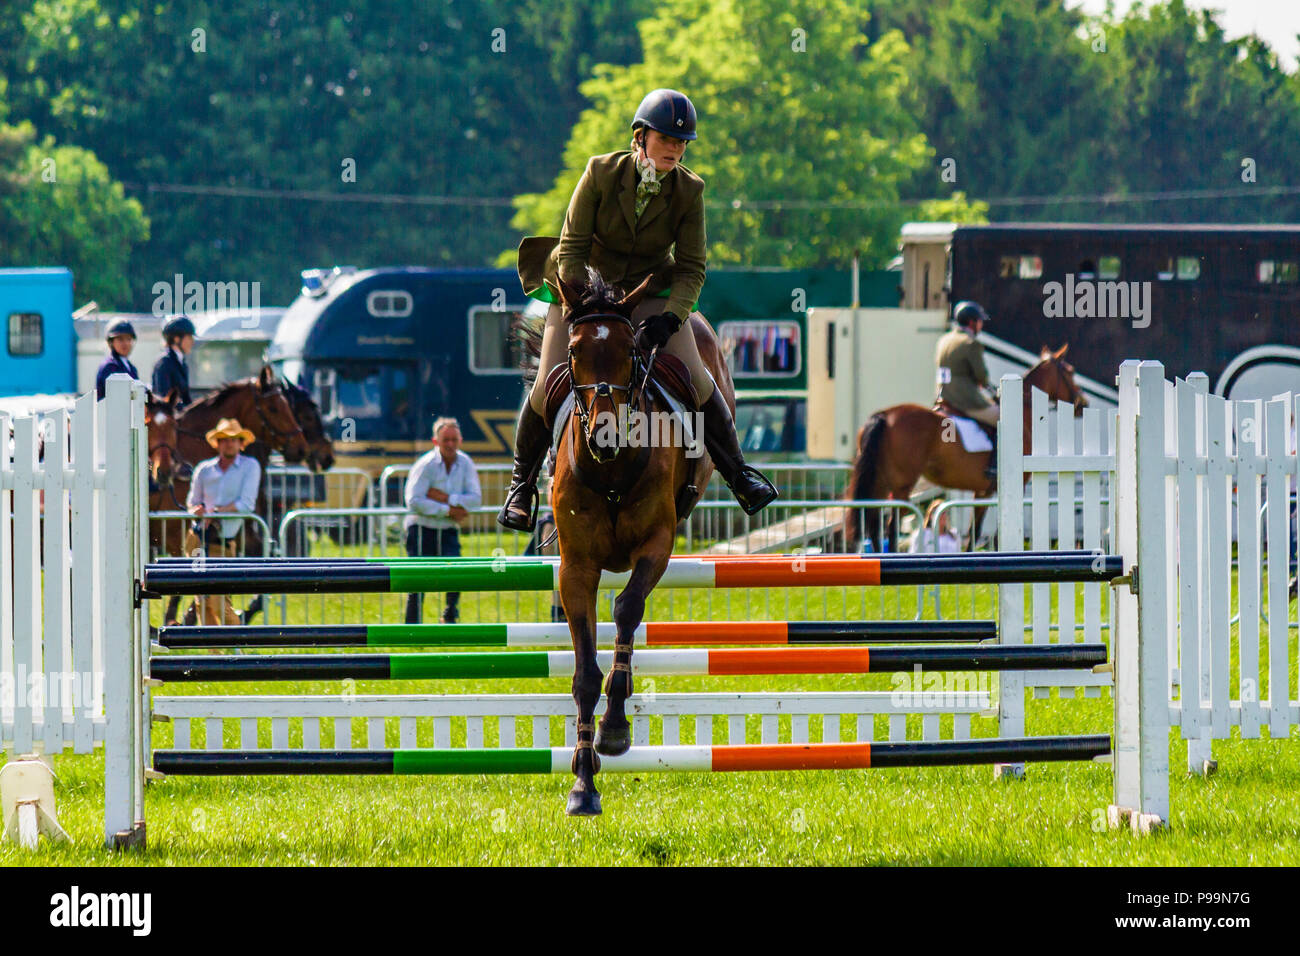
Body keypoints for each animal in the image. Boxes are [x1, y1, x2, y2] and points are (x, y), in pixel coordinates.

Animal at [535, 273, 728, 816]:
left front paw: (615, 728)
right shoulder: (576, 567)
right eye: (574, 351)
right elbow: (584, 672)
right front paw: (583, 783)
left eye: (631, 351)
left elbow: (625, 610)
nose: (604, 434)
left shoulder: (656, 545)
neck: (611, 469)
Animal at [842, 343, 1086, 554]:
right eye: (1070, 372)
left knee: (873, 519)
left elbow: (973, 530)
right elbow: (979, 531)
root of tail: (885, 415)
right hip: (901, 484)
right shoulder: (996, 490)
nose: (1083, 403)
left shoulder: (981, 491)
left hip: (881, 481)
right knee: (890, 523)